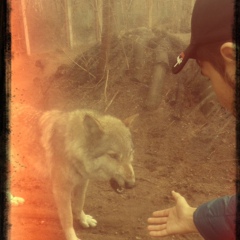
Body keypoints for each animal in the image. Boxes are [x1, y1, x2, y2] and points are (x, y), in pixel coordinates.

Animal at [10, 104, 135, 240]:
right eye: (113, 156)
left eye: (130, 153)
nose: (132, 184)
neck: (72, 149)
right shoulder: (62, 190)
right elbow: (68, 218)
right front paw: (72, 237)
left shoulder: (83, 182)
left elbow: (79, 204)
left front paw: (84, 220)